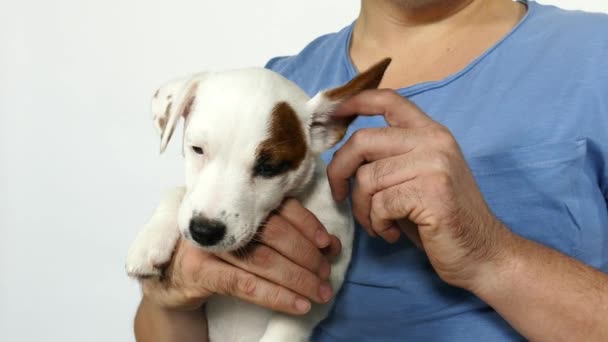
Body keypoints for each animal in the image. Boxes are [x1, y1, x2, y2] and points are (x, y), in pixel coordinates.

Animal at [126, 57, 392, 340]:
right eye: (197, 149)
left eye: (268, 168)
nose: (204, 231)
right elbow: (179, 193)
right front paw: (149, 241)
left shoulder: (324, 276)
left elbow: (288, 326)